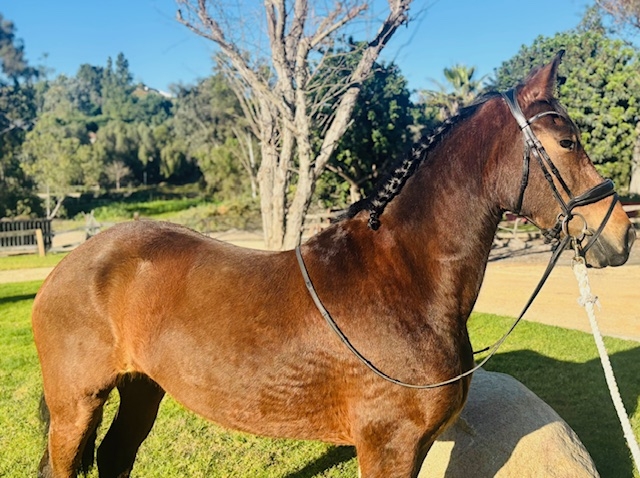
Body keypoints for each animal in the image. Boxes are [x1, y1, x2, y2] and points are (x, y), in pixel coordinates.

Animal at [33, 52, 635, 478]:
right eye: (567, 140)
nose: (620, 233)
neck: (404, 282)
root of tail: (71, 265)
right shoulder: (389, 446)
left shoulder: (414, 448)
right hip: (75, 406)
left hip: (141, 389)